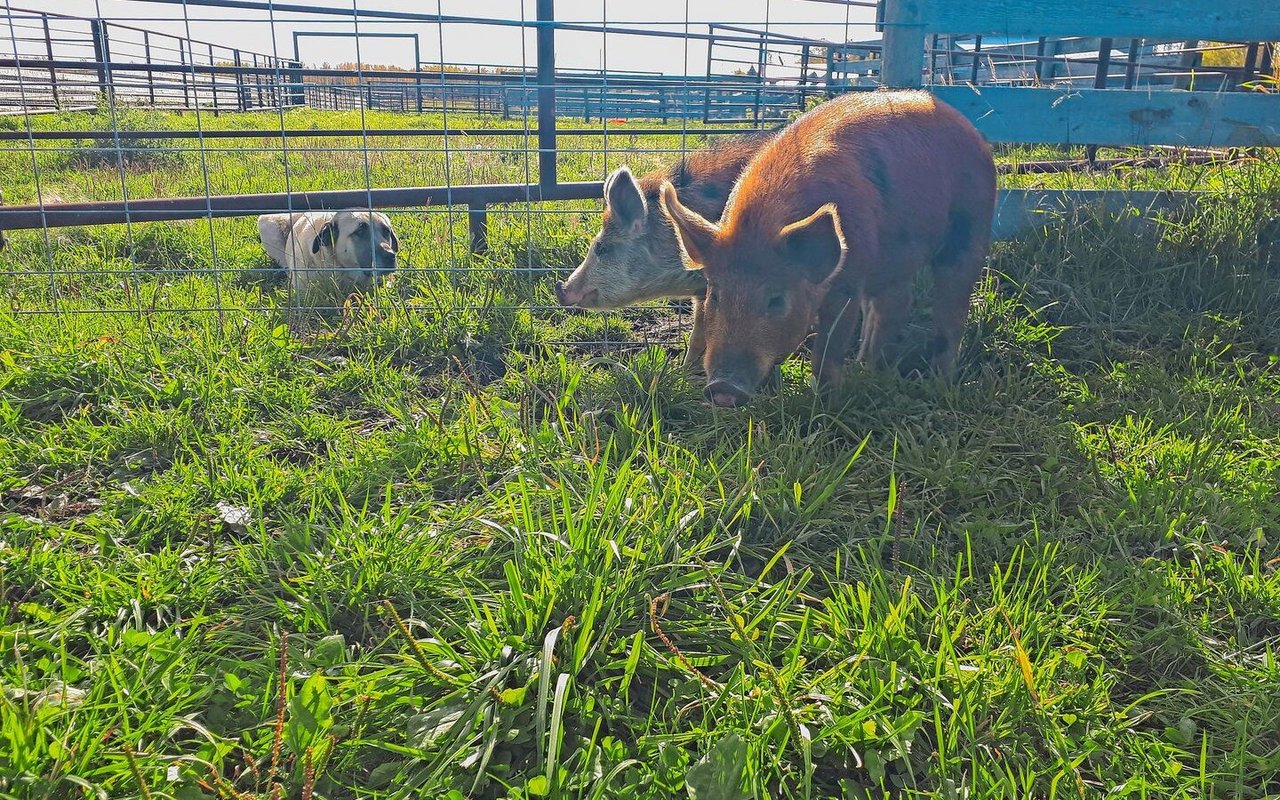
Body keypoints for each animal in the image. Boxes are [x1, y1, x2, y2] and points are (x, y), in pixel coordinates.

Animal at [660, 90, 998, 409]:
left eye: (776, 299)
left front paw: (823, 403)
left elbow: (827, 351)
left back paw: (939, 381)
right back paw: (867, 368)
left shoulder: (848, 282)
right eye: (716, 295)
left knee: (951, 309)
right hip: (893, 260)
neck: (764, 224)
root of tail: (972, 130)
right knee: (894, 305)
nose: (723, 390)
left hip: (972, 227)